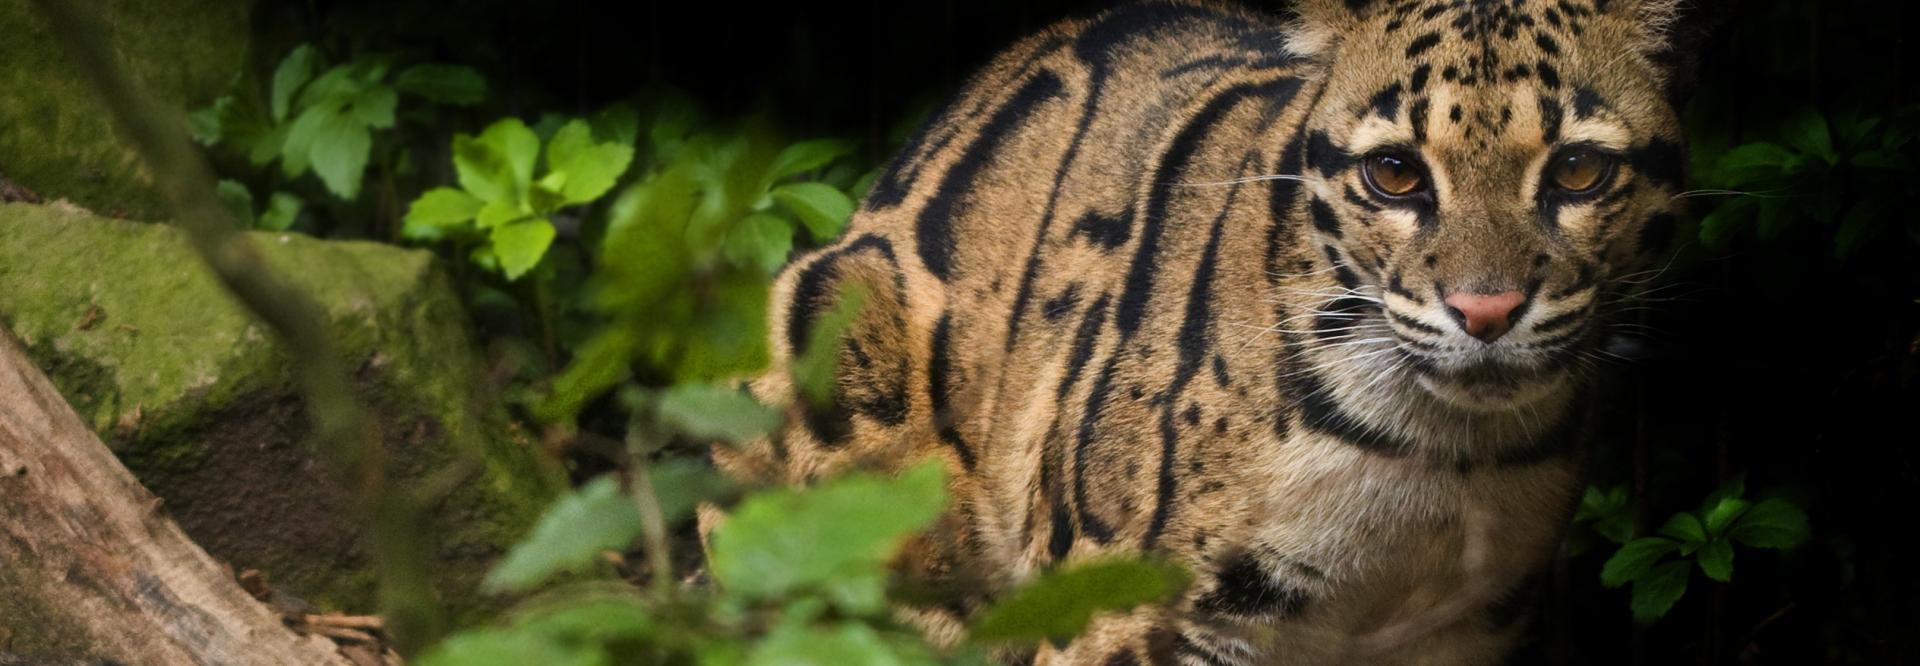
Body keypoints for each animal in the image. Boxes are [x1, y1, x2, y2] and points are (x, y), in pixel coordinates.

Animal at [707, 0, 1698, 663]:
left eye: (1578, 171)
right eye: (1393, 173)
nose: (1485, 310)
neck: (1438, 456)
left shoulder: (1463, 629)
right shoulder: (1131, 604)